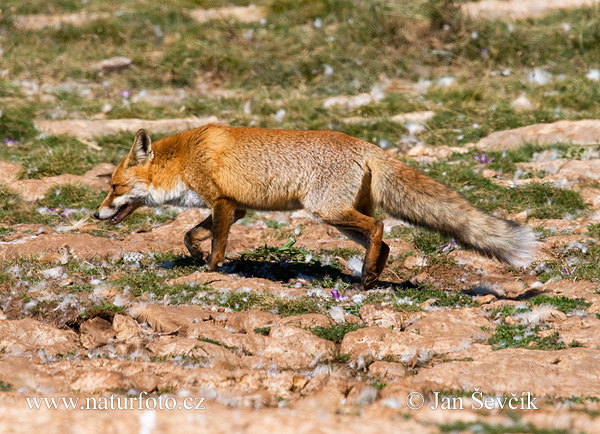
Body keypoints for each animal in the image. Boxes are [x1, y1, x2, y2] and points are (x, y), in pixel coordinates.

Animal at [96, 124, 536, 290]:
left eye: (114, 186)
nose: (95, 214)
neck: (186, 157)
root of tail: (366, 145)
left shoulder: (222, 202)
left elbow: (217, 243)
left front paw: (211, 269)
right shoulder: (237, 207)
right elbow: (191, 235)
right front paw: (196, 255)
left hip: (327, 213)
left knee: (380, 228)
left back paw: (368, 277)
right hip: (339, 220)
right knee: (384, 241)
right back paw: (373, 275)